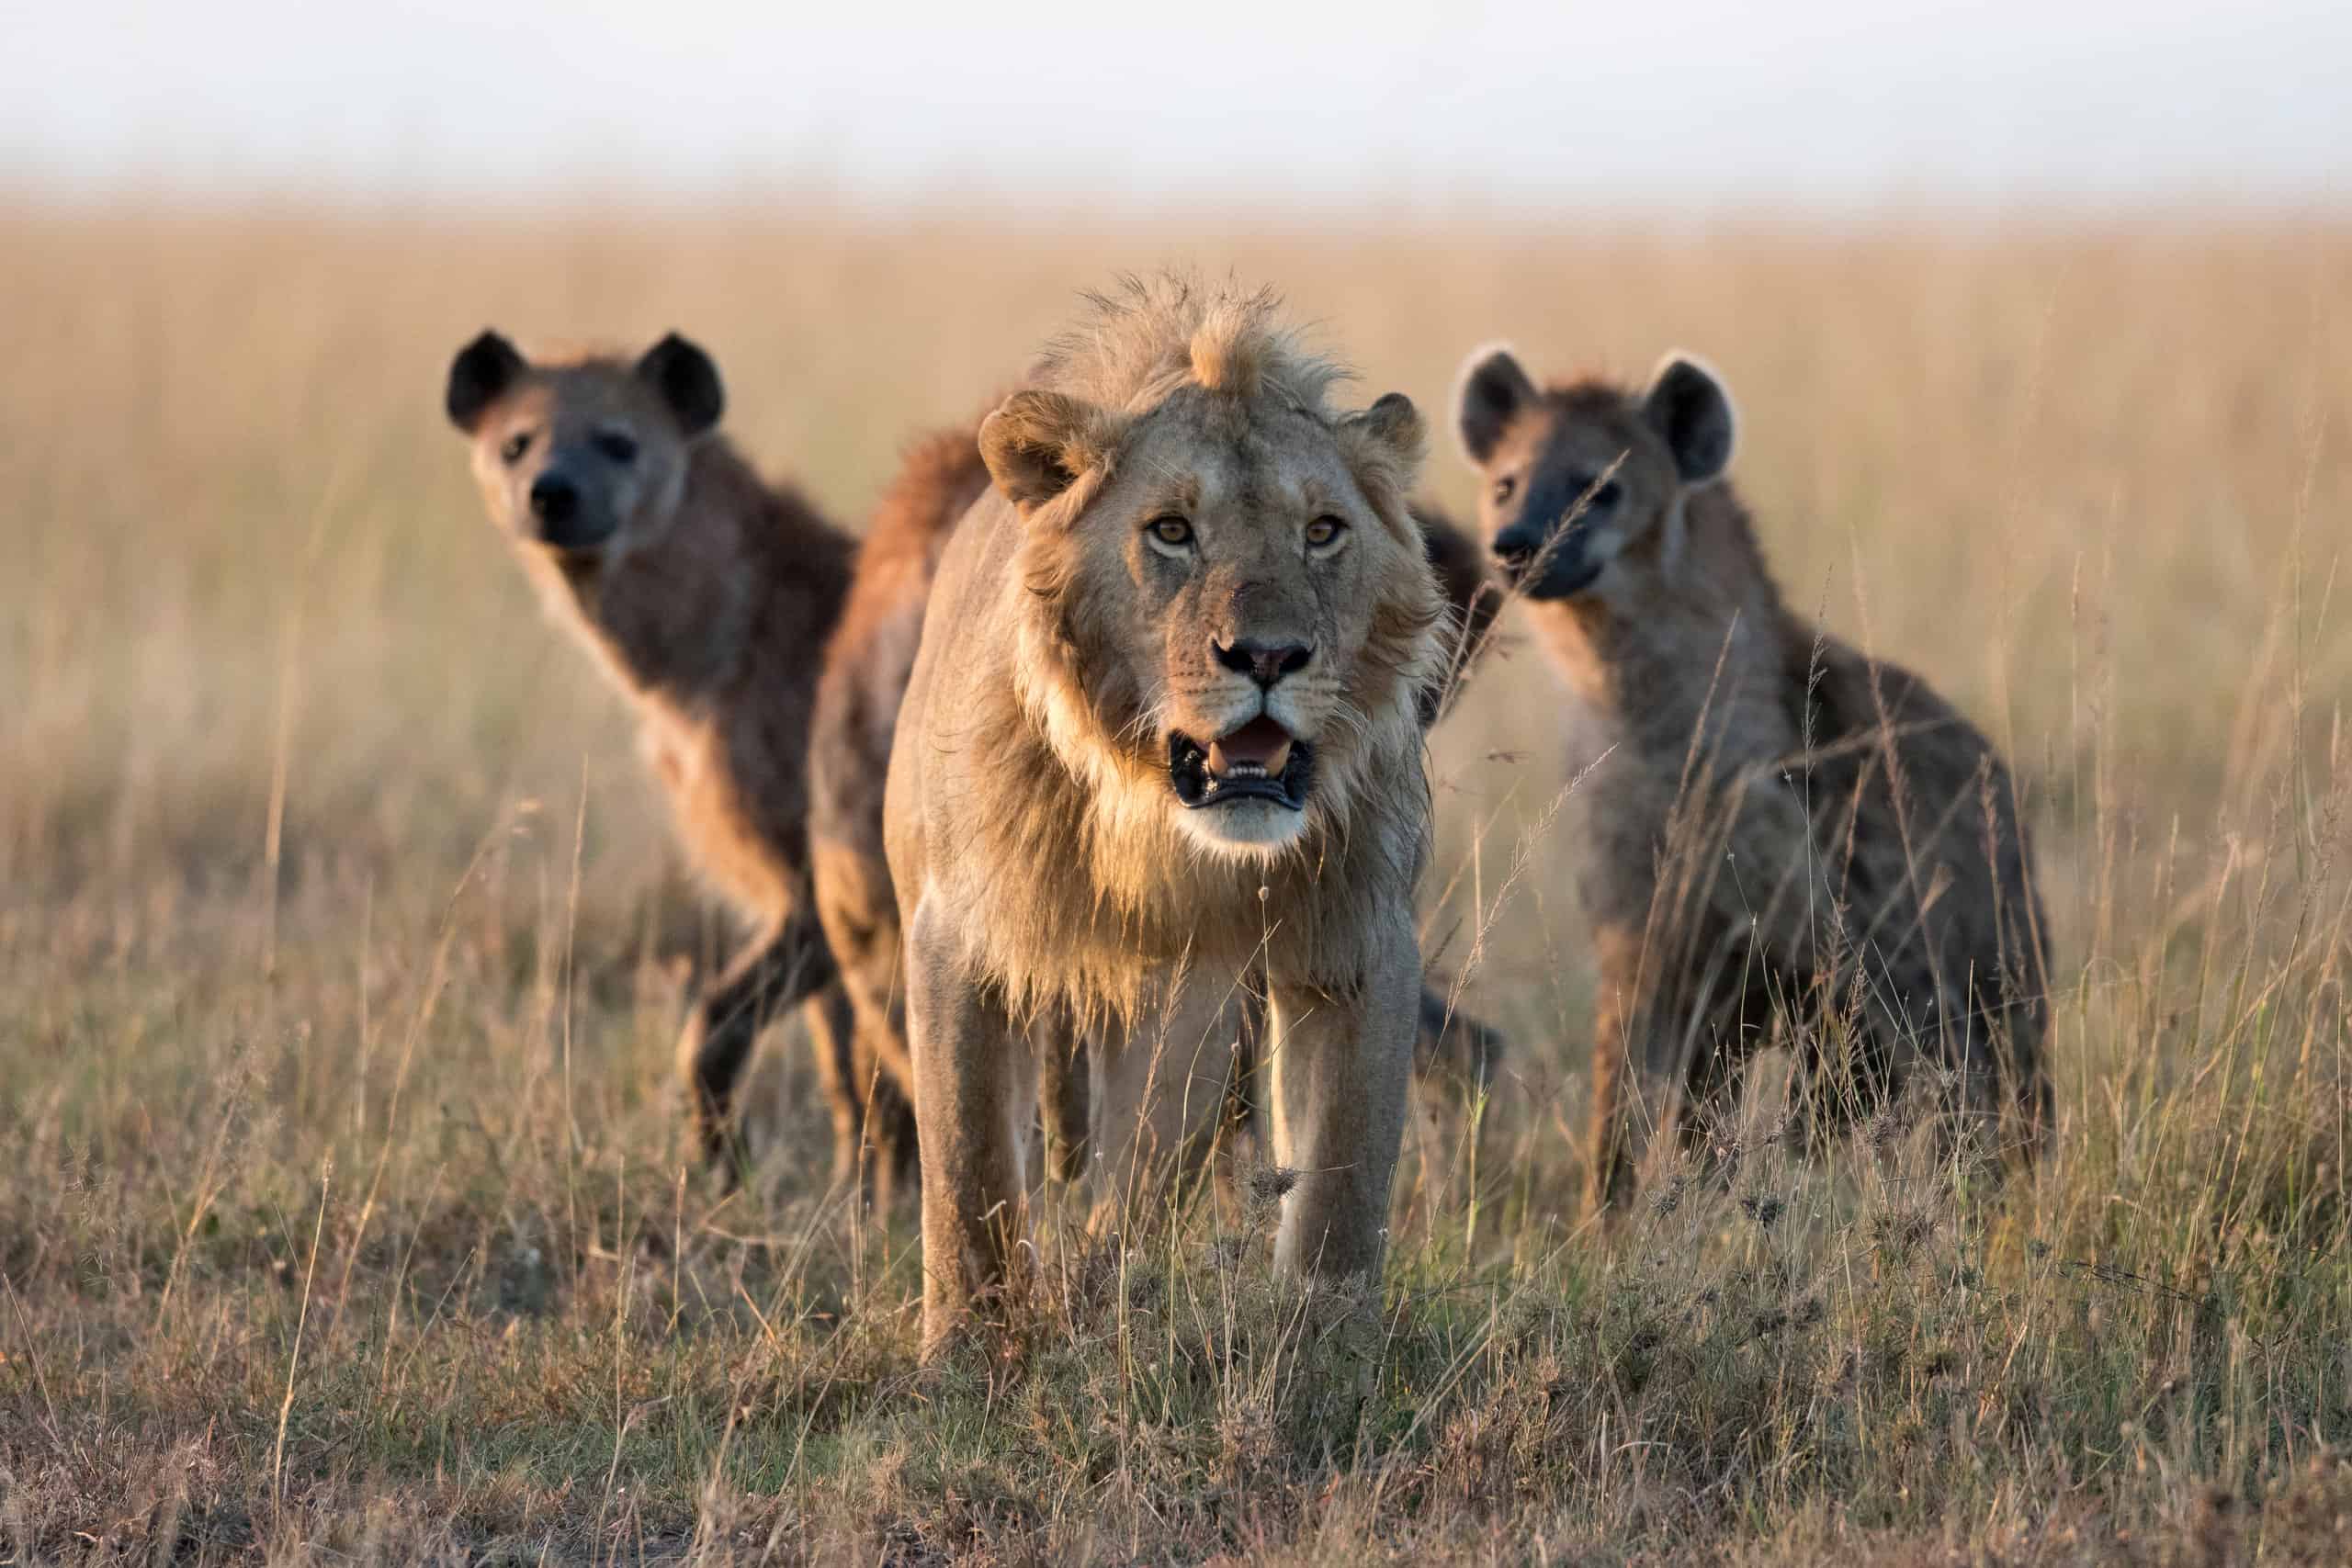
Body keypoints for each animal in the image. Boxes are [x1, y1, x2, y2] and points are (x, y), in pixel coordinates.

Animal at [879, 278, 1439, 1354]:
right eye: (1172, 530)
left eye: (1322, 531)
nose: (1267, 655)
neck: (1160, 831)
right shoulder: (955, 931)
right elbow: (966, 1170)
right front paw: (966, 1347)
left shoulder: (1352, 938)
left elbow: (1343, 1182)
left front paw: (1329, 1349)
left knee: (1138, 1180)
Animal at [1439, 345, 2051, 1222]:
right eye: (1505, 483)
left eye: (1602, 486)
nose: (1514, 544)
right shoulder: (1644, 934)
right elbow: (1625, 1100)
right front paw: (1605, 1224)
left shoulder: (1848, 949)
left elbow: (1846, 1098)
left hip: (1995, 966)